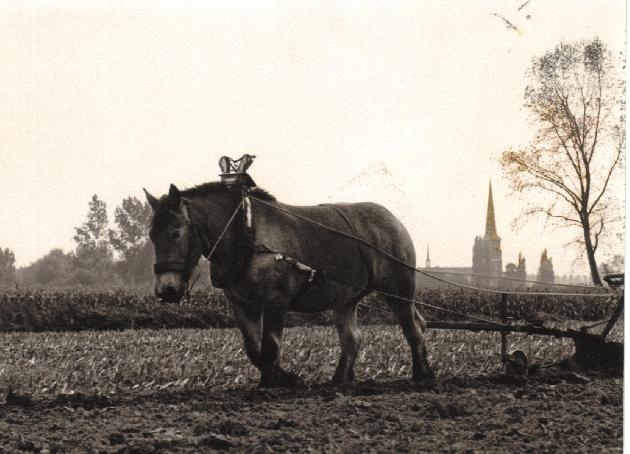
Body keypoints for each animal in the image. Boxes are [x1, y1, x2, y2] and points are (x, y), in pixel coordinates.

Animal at [146, 181, 434, 386]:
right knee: (353, 337)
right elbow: (253, 348)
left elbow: (271, 344)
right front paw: (283, 377)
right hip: (347, 299)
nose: (166, 290)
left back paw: (422, 374)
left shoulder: (277, 299)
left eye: (176, 233)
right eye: (151, 235)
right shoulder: (241, 303)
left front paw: (272, 382)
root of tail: (393, 220)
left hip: (399, 290)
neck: (245, 233)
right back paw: (340, 378)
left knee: (413, 329)